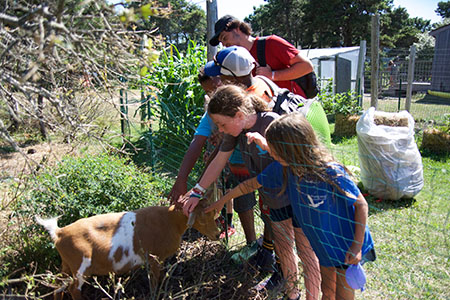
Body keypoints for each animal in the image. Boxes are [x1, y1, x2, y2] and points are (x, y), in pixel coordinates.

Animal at [36, 199, 219, 300]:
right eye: (202, 219)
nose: (217, 234)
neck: (170, 220)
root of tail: (59, 232)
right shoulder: (154, 258)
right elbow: (154, 280)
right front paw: (156, 294)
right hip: (81, 267)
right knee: (74, 290)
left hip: (66, 265)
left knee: (58, 287)